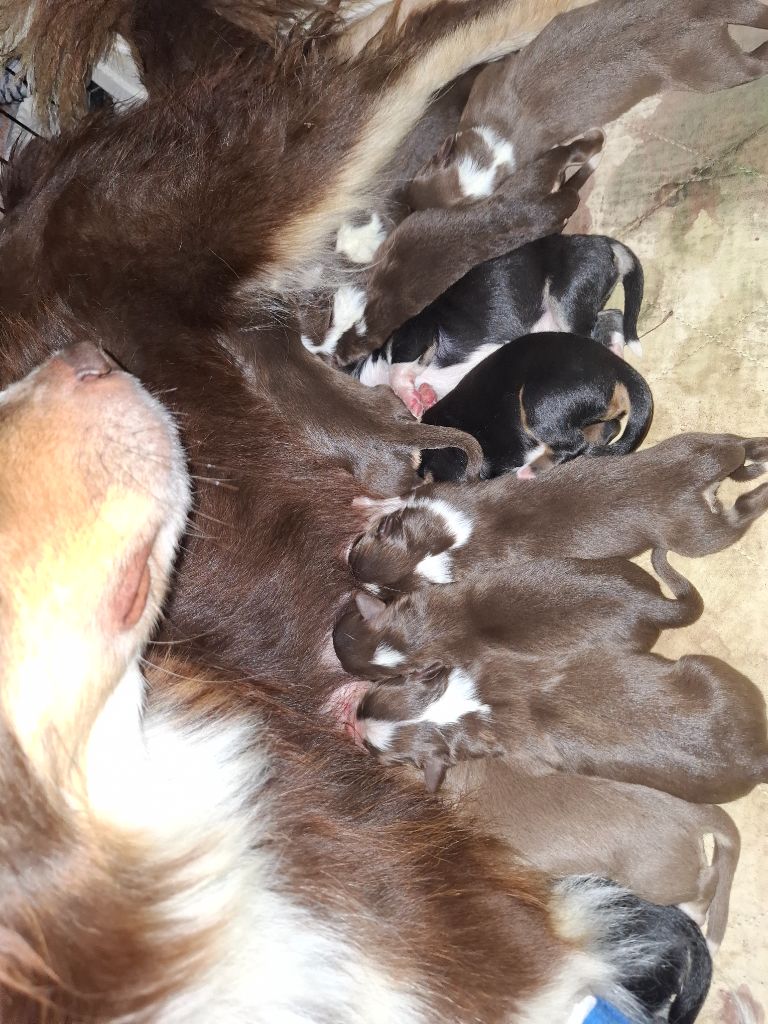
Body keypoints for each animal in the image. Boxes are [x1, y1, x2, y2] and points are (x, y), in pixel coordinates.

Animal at [353, 233, 644, 418]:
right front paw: (425, 396)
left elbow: (399, 372)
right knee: (613, 316)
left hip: (566, 299)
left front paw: (414, 401)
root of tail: (601, 241)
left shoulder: (415, 336)